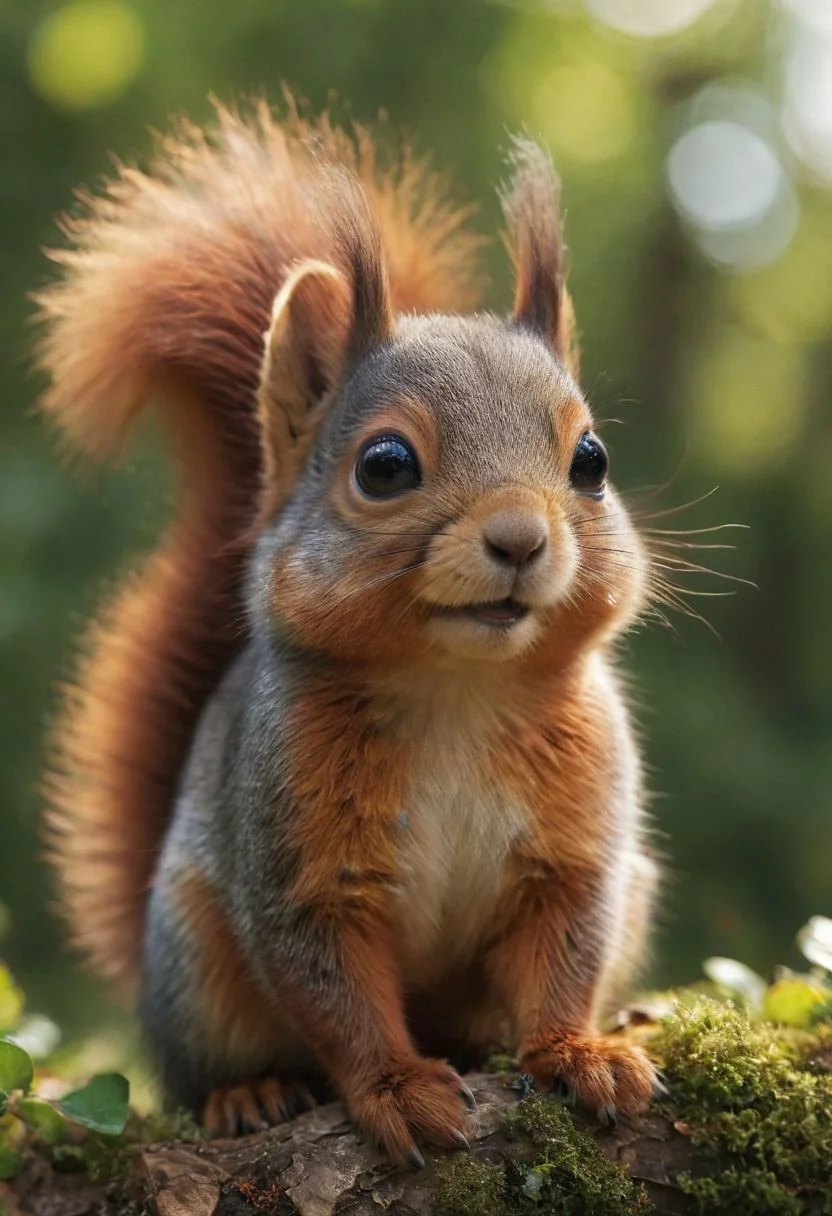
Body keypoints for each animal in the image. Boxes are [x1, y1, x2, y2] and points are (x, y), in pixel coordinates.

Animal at [35, 98, 661, 1164]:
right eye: (385, 465)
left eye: (592, 459)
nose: (520, 538)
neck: (458, 688)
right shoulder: (301, 864)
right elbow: (338, 994)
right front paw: (398, 1088)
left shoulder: (577, 849)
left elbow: (563, 953)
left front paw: (578, 1052)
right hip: (197, 961)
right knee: (210, 1062)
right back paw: (244, 1095)